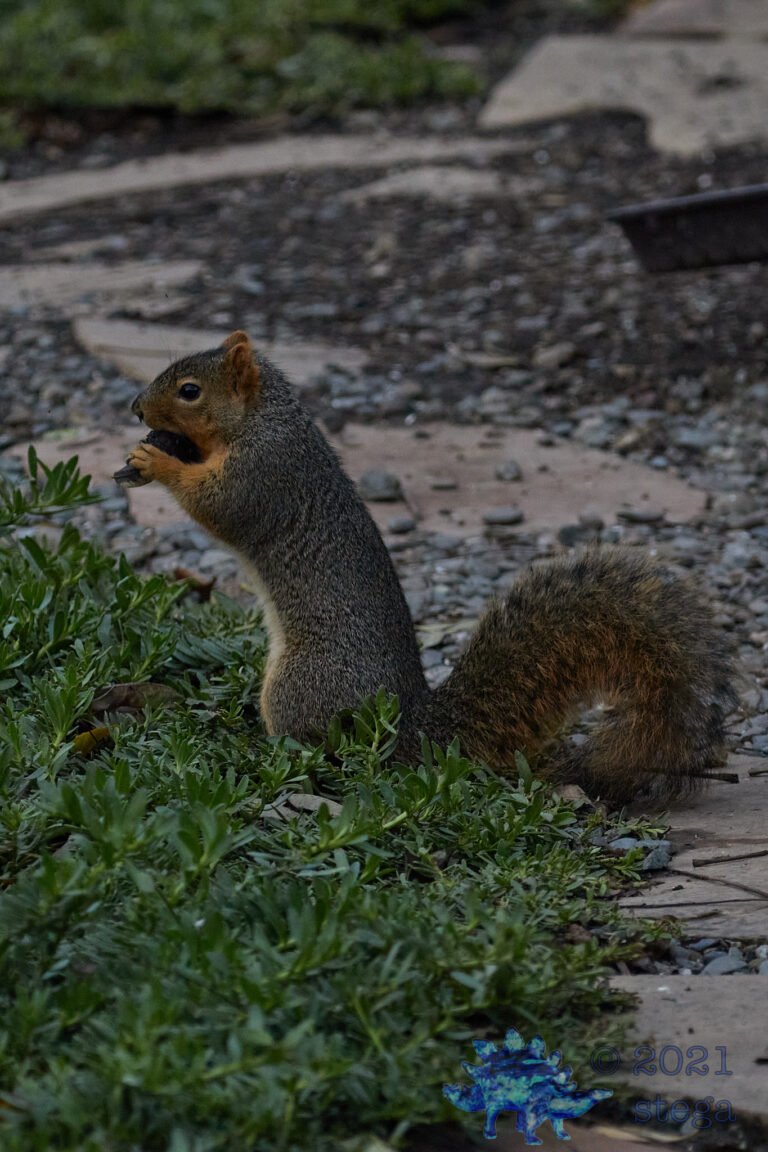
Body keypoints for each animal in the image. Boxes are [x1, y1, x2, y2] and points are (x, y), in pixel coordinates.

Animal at [123, 330, 737, 806]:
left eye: (190, 390)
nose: (136, 409)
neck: (262, 418)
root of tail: (408, 726)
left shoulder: (263, 473)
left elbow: (218, 506)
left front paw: (156, 461)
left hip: (302, 686)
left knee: (316, 744)